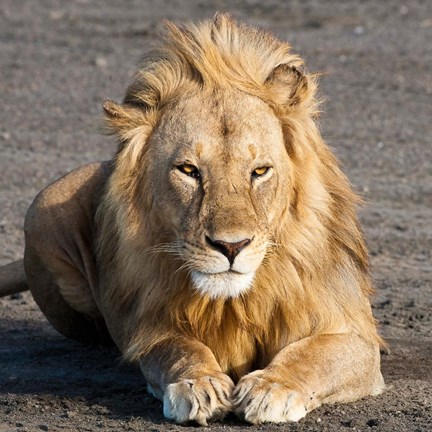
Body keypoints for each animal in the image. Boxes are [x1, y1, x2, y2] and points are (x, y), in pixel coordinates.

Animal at [0, 13, 384, 426]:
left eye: (260, 171)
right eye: (188, 170)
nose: (231, 246)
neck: (234, 302)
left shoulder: (357, 337)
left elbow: (310, 356)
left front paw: (272, 388)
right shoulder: (150, 327)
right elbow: (178, 349)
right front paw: (197, 385)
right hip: (44, 207)